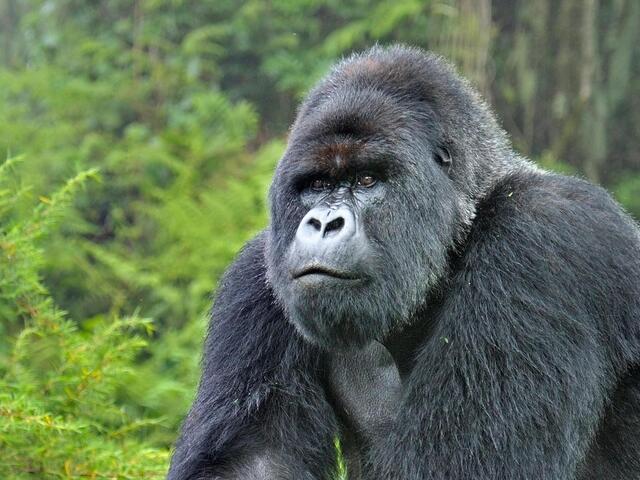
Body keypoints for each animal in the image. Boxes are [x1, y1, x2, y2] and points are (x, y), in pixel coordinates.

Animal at [166, 46, 640, 480]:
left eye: (366, 180)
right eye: (317, 184)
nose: (323, 223)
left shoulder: (541, 240)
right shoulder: (256, 277)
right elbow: (256, 463)